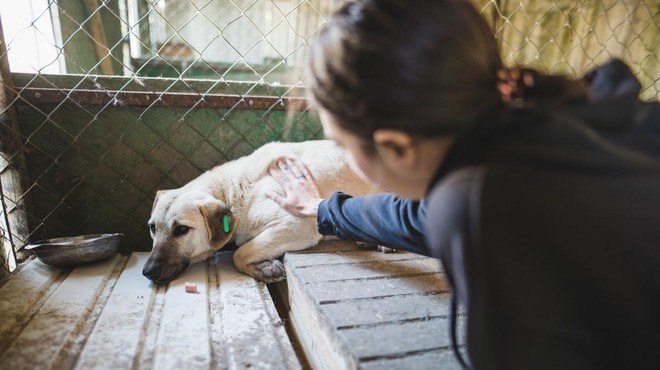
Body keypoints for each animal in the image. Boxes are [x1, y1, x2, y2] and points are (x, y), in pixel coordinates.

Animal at [144, 139, 376, 284]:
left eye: (181, 229)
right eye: (152, 228)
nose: (147, 271)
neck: (234, 189)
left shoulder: (296, 225)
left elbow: (239, 253)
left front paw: (262, 268)